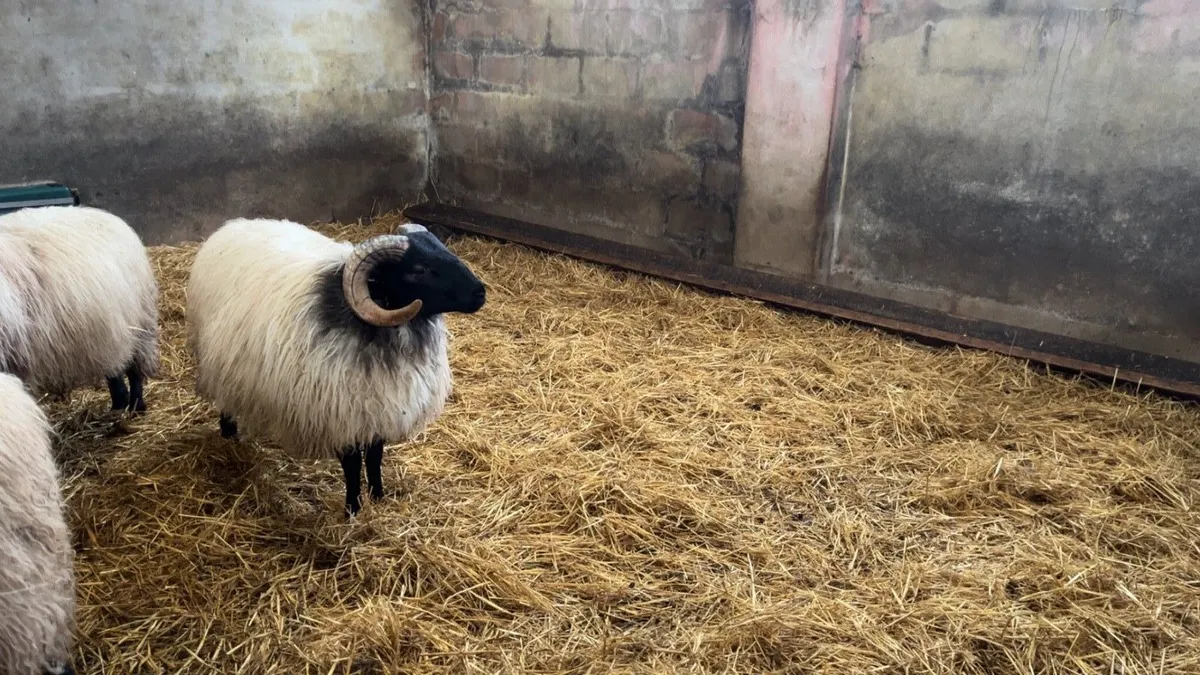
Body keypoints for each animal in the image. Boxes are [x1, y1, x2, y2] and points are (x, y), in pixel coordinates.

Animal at [0, 205, 160, 413]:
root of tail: (107, 215)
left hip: (141, 324)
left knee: (134, 369)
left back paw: (136, 406)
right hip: (108, 331)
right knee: (114, 367)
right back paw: (119, 403)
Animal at [186, 218, 487, 515]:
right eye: (419, 269)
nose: (480, 292)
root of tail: (231, 226)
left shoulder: (379, 407)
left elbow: (375, 456)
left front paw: (378, 496)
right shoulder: (340, 414)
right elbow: (352, 466)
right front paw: (353, 508)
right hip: (220, 358)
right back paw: (229, 436)